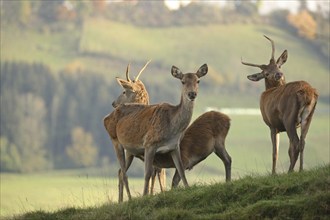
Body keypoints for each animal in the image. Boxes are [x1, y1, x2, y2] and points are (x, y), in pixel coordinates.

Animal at [104, 63, 206, 199]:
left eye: (198, 81)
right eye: (183, 81)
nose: (192, 94)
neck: (173, 127)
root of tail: (105, 118)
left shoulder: (174, 147)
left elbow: (180, 171)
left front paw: (188, 189)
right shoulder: (149, 144)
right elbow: (148, 173)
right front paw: (145, 196)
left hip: (129, 150)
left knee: (121, 171)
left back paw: (122, 199)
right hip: (115, 141)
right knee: (124, 173)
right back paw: (129, 199)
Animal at [241, 35, 318, 174]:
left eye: (279, 66)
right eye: (266, 73)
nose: (279, 74)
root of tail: (308, 93)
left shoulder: (272, 124)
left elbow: (275, 152)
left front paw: (273, 173)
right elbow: (287, 150)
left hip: (289, 118)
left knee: (296, 143)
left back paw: (290, 171)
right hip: (308, 117)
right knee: (302, 142)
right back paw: (300, 170)